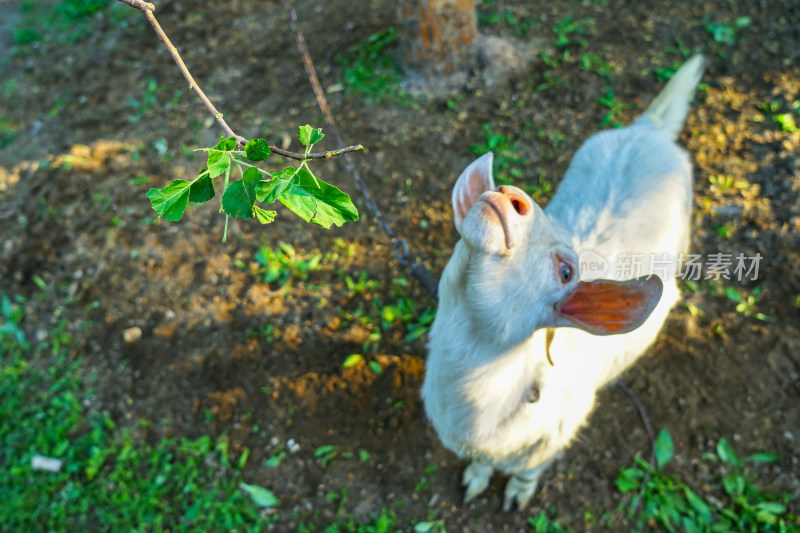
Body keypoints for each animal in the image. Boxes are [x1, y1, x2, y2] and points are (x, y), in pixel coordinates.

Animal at [422, 56, 704, 510]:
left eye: (567, 271)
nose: (511, 194)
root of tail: (649, 130)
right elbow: (480, 466)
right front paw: (474, 482)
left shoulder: (554, 438)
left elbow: (527, 472)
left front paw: (517, 496)